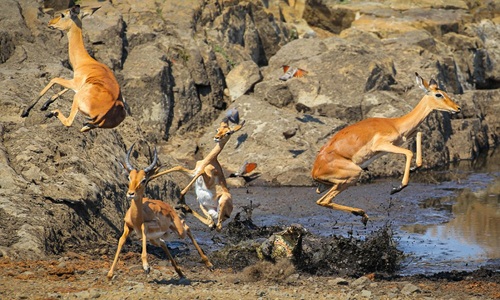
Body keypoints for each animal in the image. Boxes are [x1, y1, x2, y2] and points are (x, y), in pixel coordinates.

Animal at [106, 144, 212, 280]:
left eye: (144, 180)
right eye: (129, 177)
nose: (130, 194)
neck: (138, 216)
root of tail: (169, 208)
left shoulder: (148, 225)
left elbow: (143, 226)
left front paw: (146, 266)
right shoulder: (128, 226)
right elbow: (121, 241)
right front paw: (109, 274)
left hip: (178, 230)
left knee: (186, 227)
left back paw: (208, 264)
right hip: (154, 239)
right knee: (163, 243)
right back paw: (180, 272)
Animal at [312, 72, 460, 225]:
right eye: (439, 94)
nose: (457, 108)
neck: (395, 124)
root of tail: (315, 170)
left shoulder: (402, 139)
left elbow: (419, 132)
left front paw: (414, 167)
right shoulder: (383, 145)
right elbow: (409, 152)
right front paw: (396, 188)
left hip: (331, 184)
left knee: (321, 199)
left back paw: (362, 214)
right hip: (353, 175)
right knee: (323, 201)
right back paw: (362, 214)